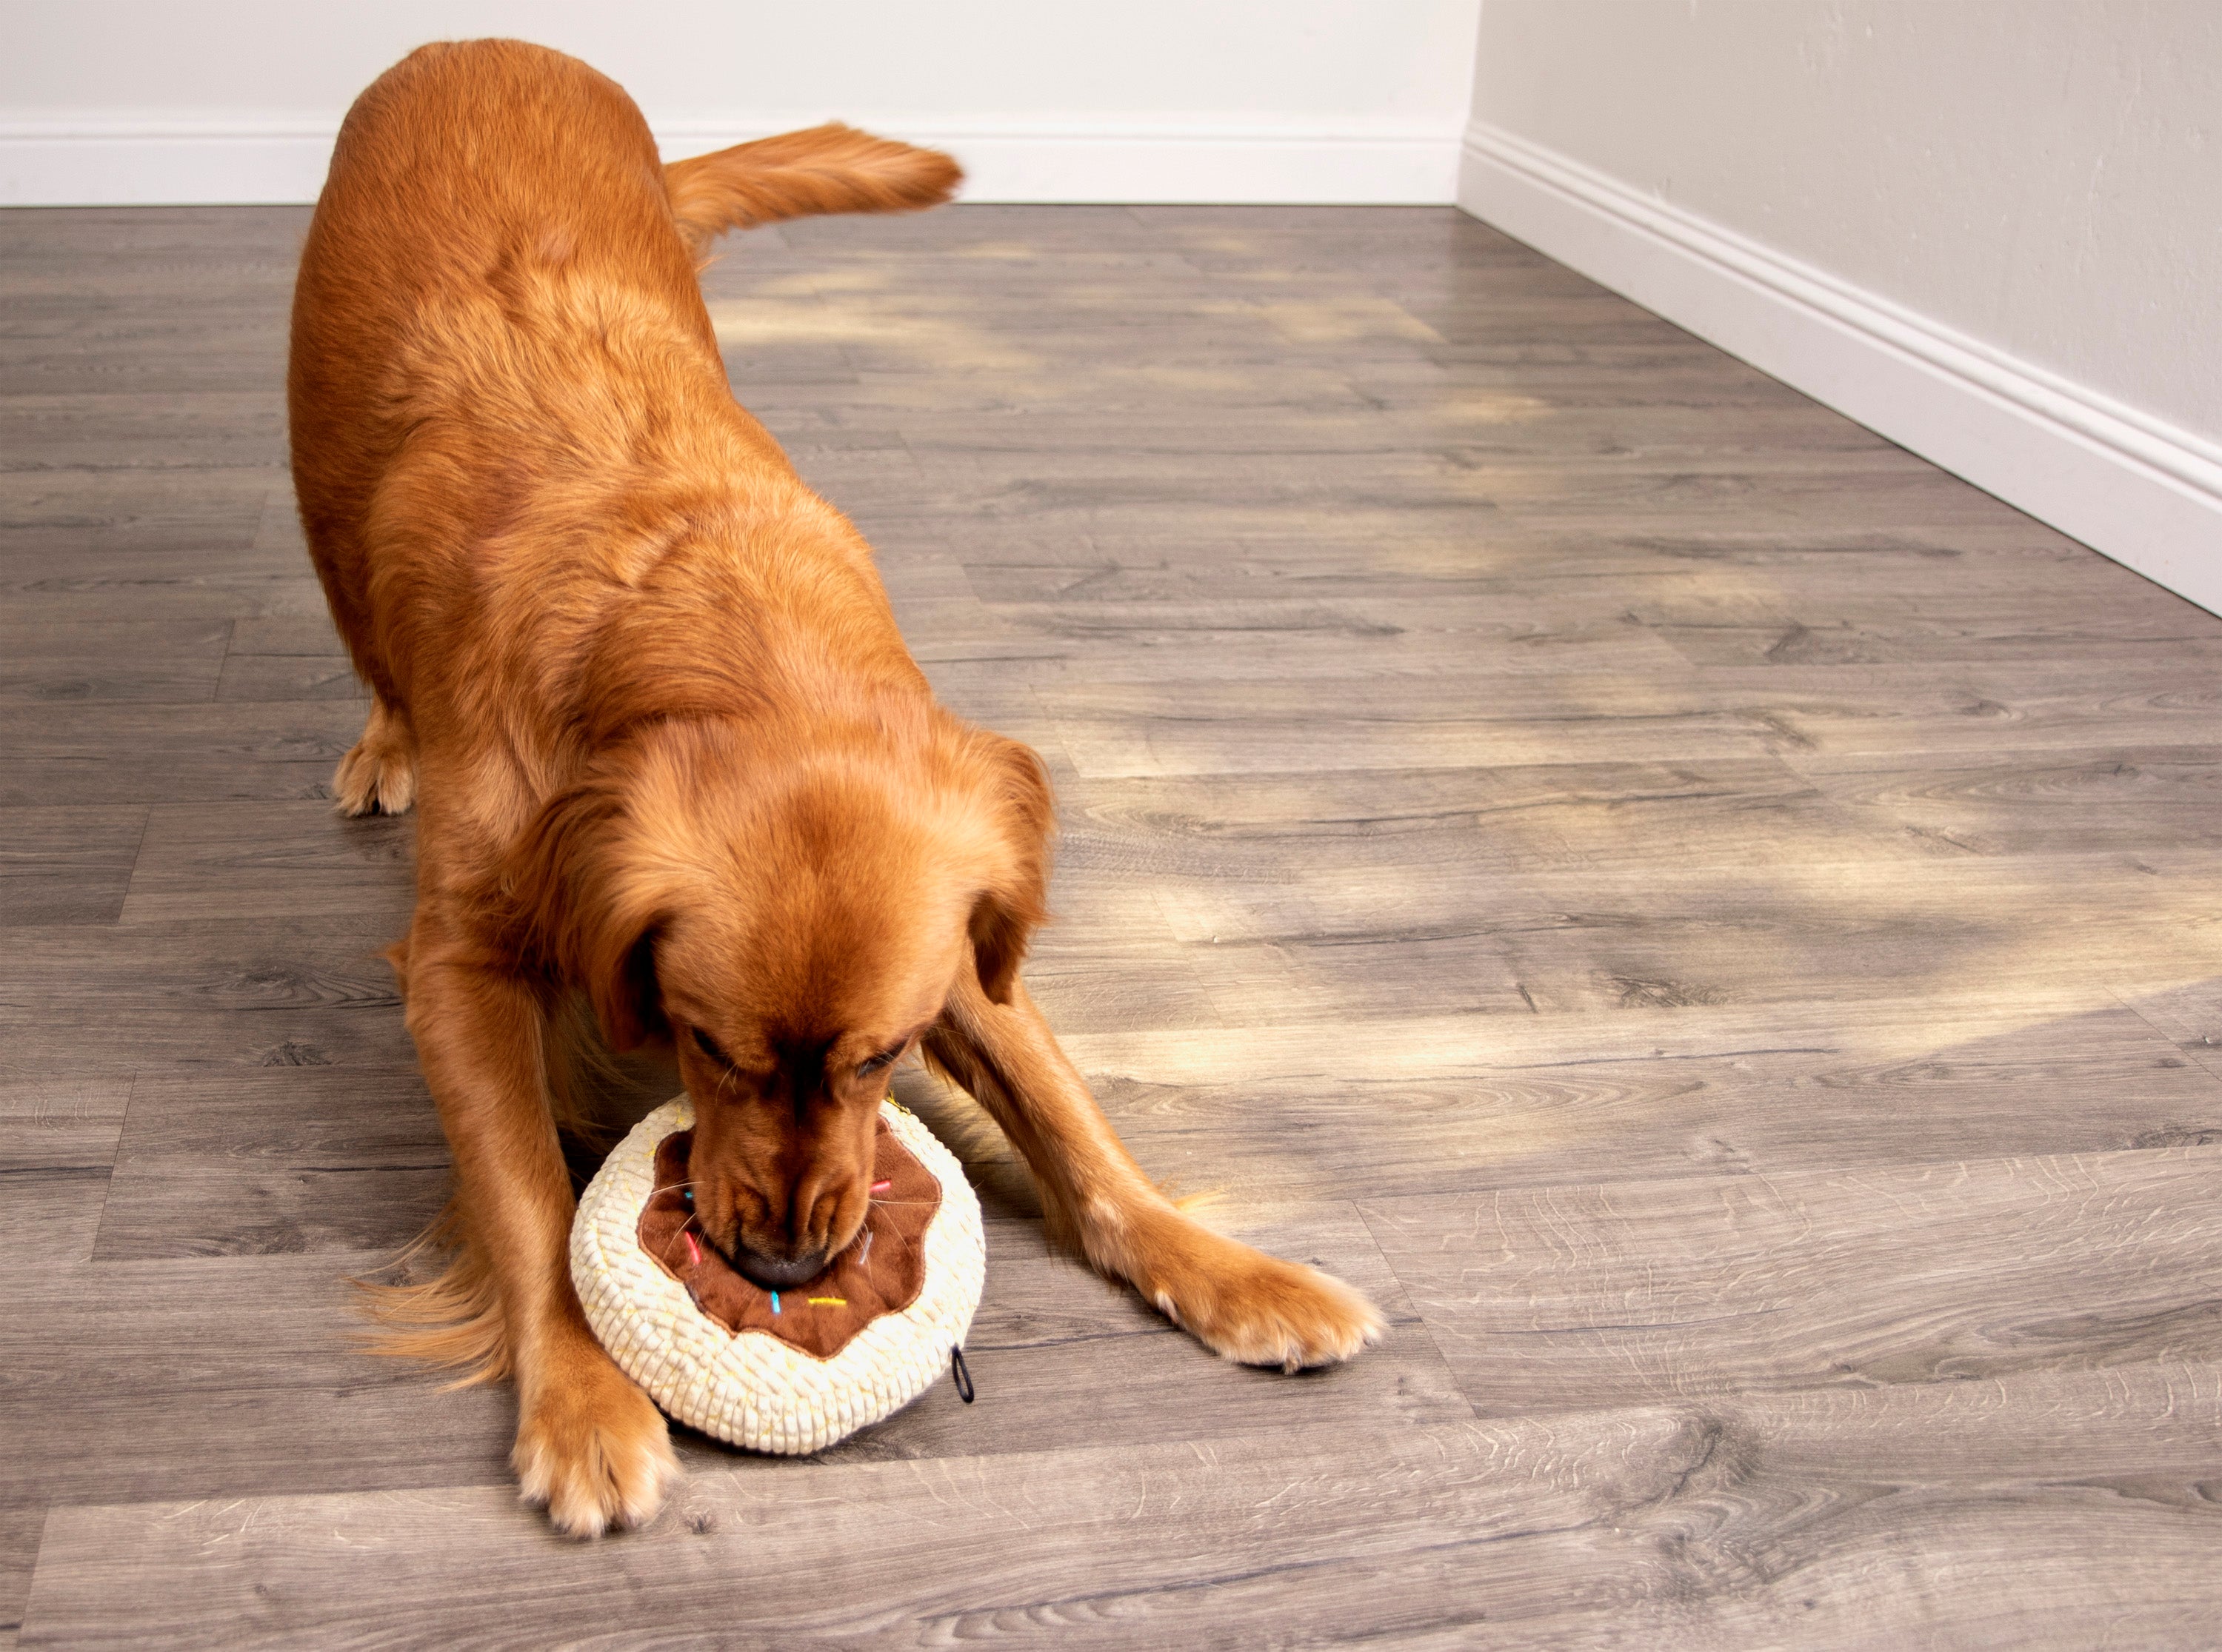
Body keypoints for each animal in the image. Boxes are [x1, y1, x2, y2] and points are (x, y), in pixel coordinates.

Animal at [287, 39, 1378, 1536]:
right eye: (707, 1047)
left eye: (882, 1057)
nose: (792, 1271)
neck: (712, 617)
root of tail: (484, 46)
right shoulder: (458, 962)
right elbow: (523, 1192)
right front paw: (582, 1400)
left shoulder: (965, 943)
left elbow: (1077, 1126)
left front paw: (1225, 1266)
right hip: (324, 483)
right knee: (364, 635)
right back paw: (383, 741)